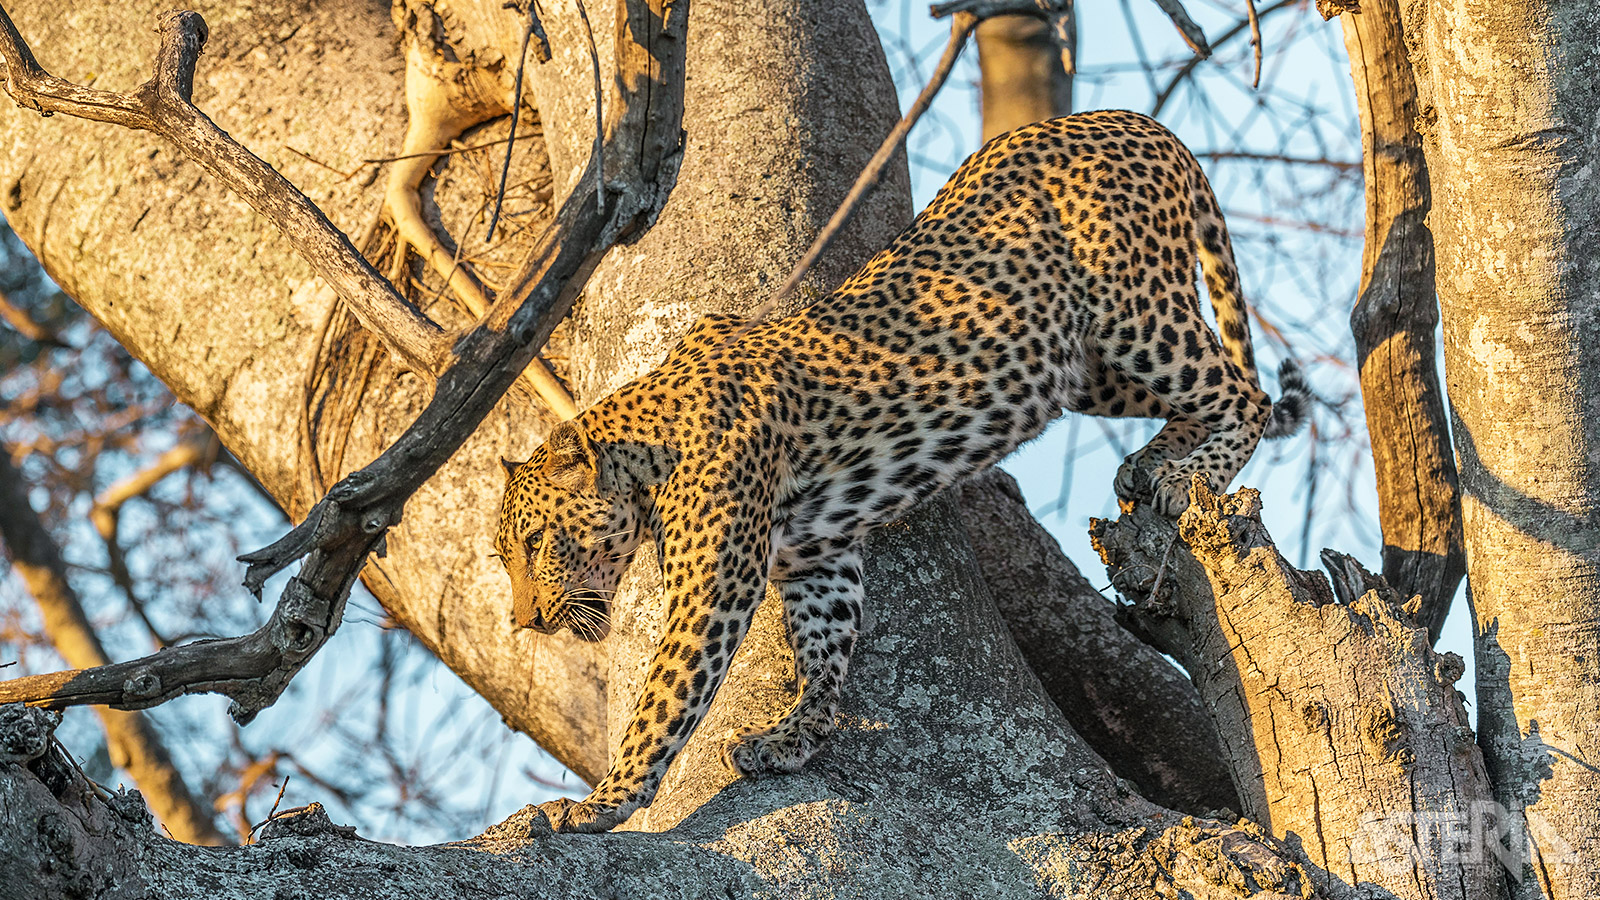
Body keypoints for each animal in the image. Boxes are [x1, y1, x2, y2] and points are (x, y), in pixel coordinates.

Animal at [492, 108, 1305, 832]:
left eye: (536, 543)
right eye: (506, 558)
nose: (525, 619)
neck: (643, 449)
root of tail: (1134, 121)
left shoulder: (713, 588)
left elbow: (665, 699)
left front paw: (602, 804)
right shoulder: (818, 557)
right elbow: (826, 646)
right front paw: (796, 737)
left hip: (1134, 314)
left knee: (1246, 391)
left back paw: (1186, 475)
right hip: (1080, 366)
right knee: (1203, 390)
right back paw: (1150, 462)